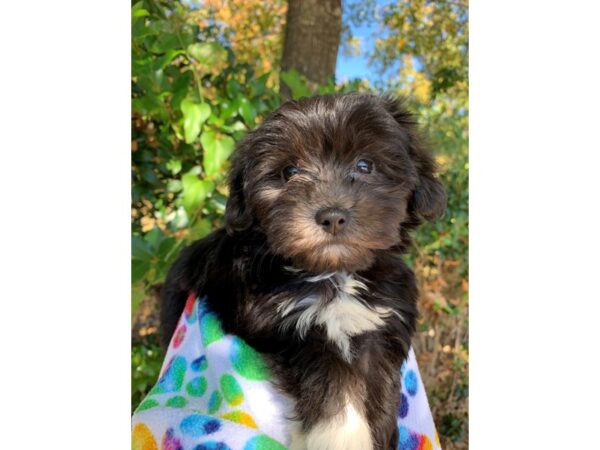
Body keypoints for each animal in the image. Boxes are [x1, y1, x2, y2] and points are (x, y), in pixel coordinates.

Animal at [159, 92, 446, 450]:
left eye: (365, 165)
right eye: (289, 171)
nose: (332, 215)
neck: (335, 273)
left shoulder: (381, 328)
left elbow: (379, 390)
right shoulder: (287, 323)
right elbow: (333, 377)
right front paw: (344, 436)